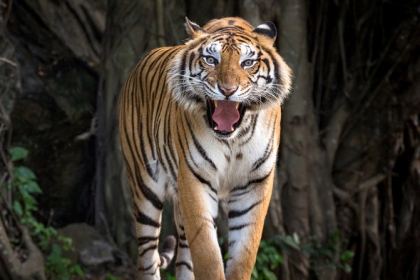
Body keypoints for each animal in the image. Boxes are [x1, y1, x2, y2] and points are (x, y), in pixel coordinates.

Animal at [117, 16, 288, 278]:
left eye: (247, 63)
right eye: (211, 60)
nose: (227, 91)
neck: (233, 139)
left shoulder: (254, 184)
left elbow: (243, 256)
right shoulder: (194, 179)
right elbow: (207, 255)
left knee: (184, 261)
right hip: (144, 186)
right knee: (147, 258)